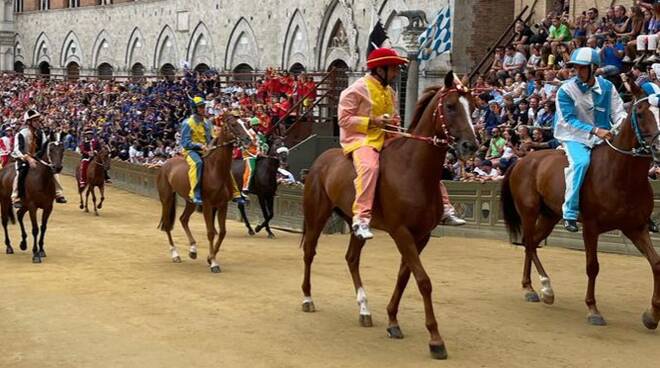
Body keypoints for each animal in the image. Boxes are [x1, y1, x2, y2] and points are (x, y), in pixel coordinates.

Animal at [158, 113, 253, 272]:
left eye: (245, 124)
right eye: (234, 124)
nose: (248, 140)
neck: (215, 170)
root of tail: (165, 164)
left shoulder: (222, 204)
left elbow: (222, 232)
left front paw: (210, 257)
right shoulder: (208, 205)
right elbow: (211, 232)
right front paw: (214, 262)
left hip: (190, 201)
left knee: (183, 219)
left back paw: (193, 250)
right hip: (167, 198)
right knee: (167, 224)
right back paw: (175, 254)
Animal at [302, 72, 476, 360]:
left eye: (472, 106)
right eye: (451, 106)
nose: (470, 145)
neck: (413, 169)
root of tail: (321, 159)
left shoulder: (422, 236)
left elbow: (405, 277)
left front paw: (393, 320)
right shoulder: (401, 232)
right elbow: (423, 281)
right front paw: (435, 339)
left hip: (355, 223)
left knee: (352, 258)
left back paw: (364, 309)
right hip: (317, 214)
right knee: (309, 252)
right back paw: (307, 298)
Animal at [500, 82, 660, 330]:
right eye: (641, 113)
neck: (621, 174)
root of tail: (522, 161)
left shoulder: (636, 227)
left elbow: (656, 264)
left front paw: (652, 315)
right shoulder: (591, 227)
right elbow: (592, 266)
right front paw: (593, 310)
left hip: (550, 215)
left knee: (532, 243)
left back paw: (541, 289)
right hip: (529, 211)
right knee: (528, 242)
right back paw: (536, 288)